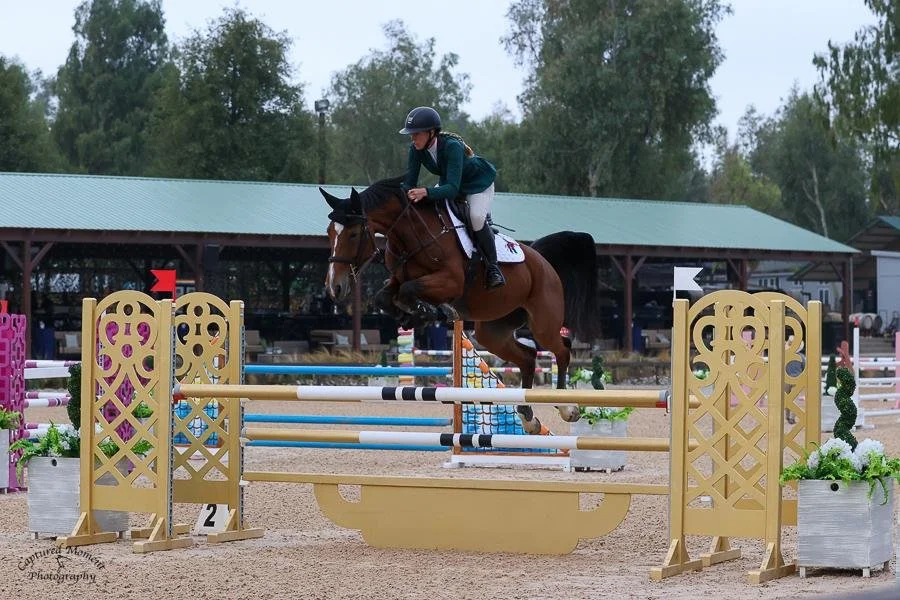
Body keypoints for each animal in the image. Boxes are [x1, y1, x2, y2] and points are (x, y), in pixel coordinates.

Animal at [319, 175, 604, 434]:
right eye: (330, 233)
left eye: (353, 234)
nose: (335, 288)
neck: (411, 234)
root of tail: (542, 260)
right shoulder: (397, 280)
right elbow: (386, 297)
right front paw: (415, 315)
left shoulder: (450, 282)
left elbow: (409, 291)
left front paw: (433, 311)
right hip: (492, 331)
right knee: (527, 357)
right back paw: (528, 417)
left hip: (543, 321)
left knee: (562, 349)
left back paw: (567, 406)